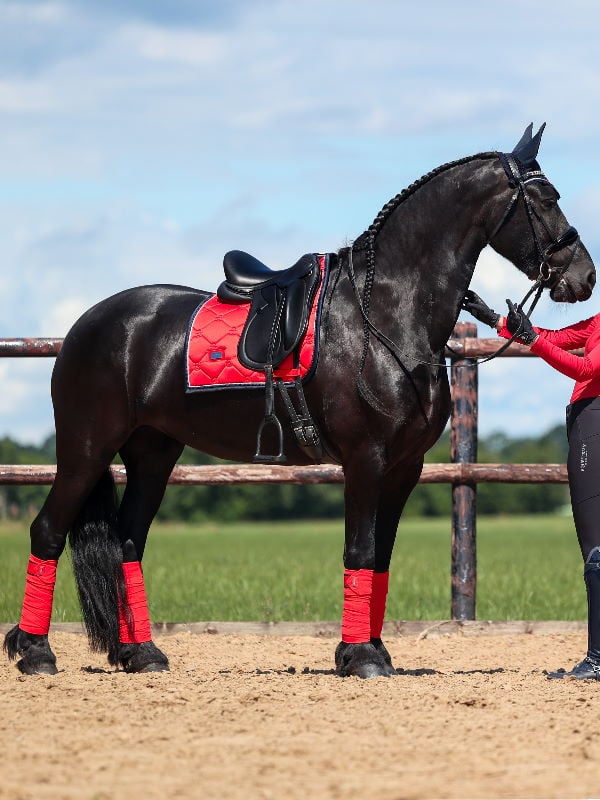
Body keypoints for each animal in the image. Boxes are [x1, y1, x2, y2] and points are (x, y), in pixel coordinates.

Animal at [4, 123, 596, 676]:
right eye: (547, 198)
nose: (583, 277)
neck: (384, 317)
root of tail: (88, 325)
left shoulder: (404, 466)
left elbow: (381, 557)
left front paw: (372, 650)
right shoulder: (366, 459)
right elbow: (360, 550)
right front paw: (360, 657)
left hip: (152, 452)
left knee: (127, 542)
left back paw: (142, 652)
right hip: (86, 449)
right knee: (48, 531)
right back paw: (34, 651)